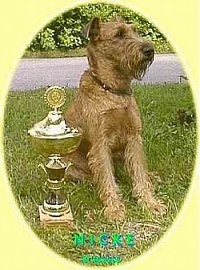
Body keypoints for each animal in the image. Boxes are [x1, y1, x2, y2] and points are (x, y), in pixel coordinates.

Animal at [65, 17, 166, 223]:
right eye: (119, 34)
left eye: (135, 31)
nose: (149, 50)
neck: (113, 90)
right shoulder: (100, 144)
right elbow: (107, 179)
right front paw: (114, 209)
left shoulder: (134, 138)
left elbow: (140, 173)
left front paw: (150, 203)